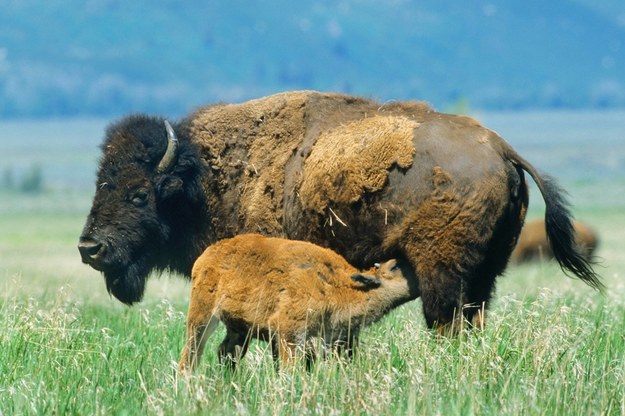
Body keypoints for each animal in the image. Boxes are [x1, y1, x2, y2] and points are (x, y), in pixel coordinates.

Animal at [75, 90, 604, 332]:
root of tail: (501, 148)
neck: (202, 180)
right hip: (487, 272)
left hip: (443, 273)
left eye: (139, 194)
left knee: (446, 321)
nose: (89, 248)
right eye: (101, 183)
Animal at [178, 232, 416, 372]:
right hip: (201, 317)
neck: (339, 284)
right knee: (192, 351)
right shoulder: (288, 332)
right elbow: (289, 368)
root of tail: (207, 255)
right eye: (394, 266)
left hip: (240, 329)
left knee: (226, 351)